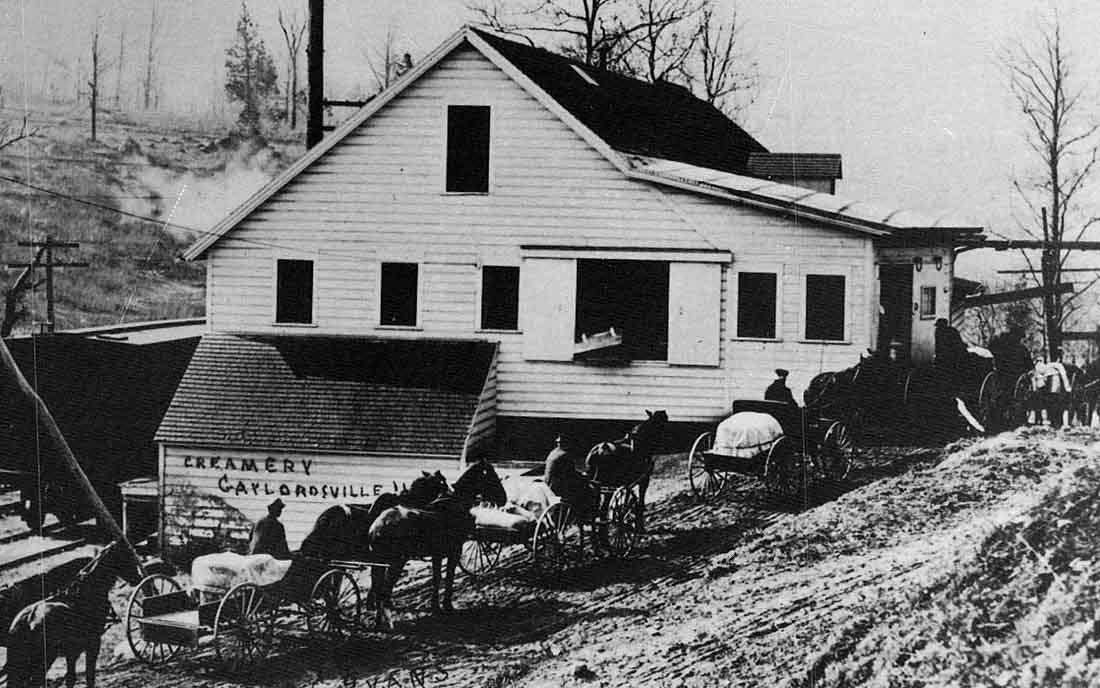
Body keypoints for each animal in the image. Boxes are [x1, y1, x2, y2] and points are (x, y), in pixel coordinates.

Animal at [4, 541, 144, 686]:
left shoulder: (72, 651)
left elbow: (71, 678)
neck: (84, 593)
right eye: (127, 556)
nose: (138, 578)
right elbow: (89, 675)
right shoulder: (93, 643)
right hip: (46, 659)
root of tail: (29, 618)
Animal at [369, 457, 506, 629]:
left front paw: (436, 607)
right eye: (491, 475)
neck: (455, 504)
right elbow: (448, 577)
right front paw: (447, 605)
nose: (504, 498)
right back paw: (388, 621)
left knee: (378, 588)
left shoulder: (437, 555)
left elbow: (436, 578)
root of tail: (379, 525)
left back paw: (378, 621)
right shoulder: (454, 552)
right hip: (396, 562)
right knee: (383, 591)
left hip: (380, 563)